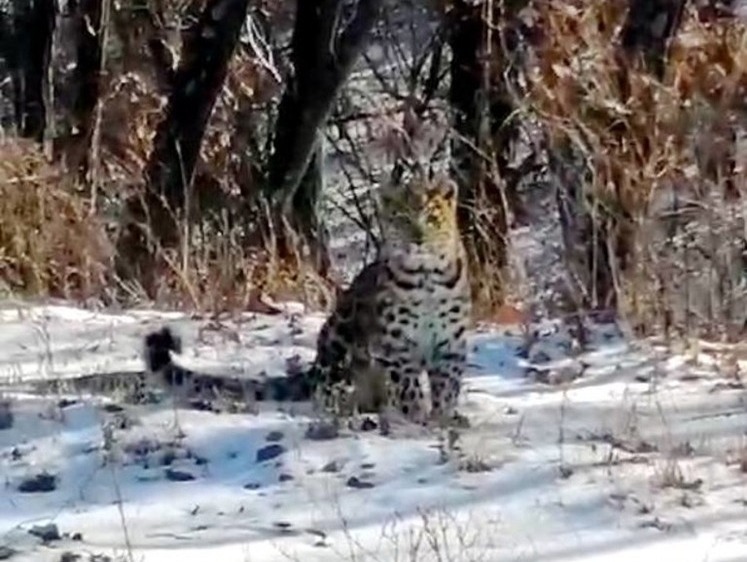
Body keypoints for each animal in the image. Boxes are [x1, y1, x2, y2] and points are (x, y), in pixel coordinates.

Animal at [310, 171, 474, 428]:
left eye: (432, 218)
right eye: (403, 219)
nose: (418, 239)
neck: (426, 277)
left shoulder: (450, 340)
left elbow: (447, 383)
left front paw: (443, 417)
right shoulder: (397, 342)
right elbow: (407, 383)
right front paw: (417, 416)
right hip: (338, 333)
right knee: (325, 383)